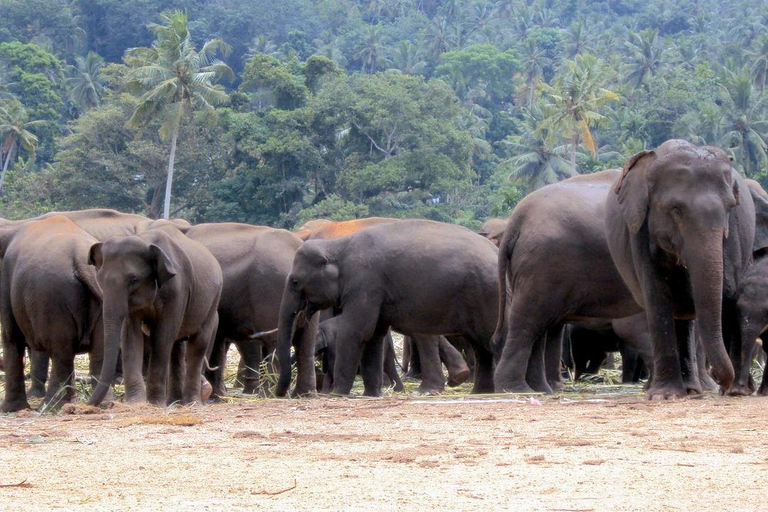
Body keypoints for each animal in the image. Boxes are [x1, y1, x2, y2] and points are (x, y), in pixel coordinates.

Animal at [0, 215, 103, 412]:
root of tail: (82, 263)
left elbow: (11, 336)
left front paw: (10, 409)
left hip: (51, 298)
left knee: (60, 349)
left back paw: (50, 406)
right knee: (98, 350)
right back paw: (100, 404)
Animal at [89, 222, 224, 406]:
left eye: (133, 280)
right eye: (100, 279)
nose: (88, 404)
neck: (146, 241)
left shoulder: (177, 290)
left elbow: (162, 336)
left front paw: (154, 404)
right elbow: (130, 335)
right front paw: (135, 403)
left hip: (212, 302)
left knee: (198, 344)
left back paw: (193, 403)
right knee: (177, 348)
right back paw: (174, 402)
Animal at [276, 218, 498, 398]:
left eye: (295, 282)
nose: (280, 394)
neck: (338, 245)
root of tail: (495, 251)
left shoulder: (365, 284)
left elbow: (355, 331)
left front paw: (337, 394)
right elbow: (374, 335)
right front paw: (371, 395)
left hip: (485, 295)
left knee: (490, 338)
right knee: (479, 345)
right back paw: (479, 391)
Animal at [608, 141, 760, 400]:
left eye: (730, 207)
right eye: (676, 210)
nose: (720, 379)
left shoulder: (735, 235)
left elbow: (728, 296)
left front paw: (736, 391)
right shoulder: (640, 232)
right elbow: (658, 298)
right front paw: (664, 395)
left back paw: (695, 389)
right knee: (679, 315)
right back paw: (687, 390)